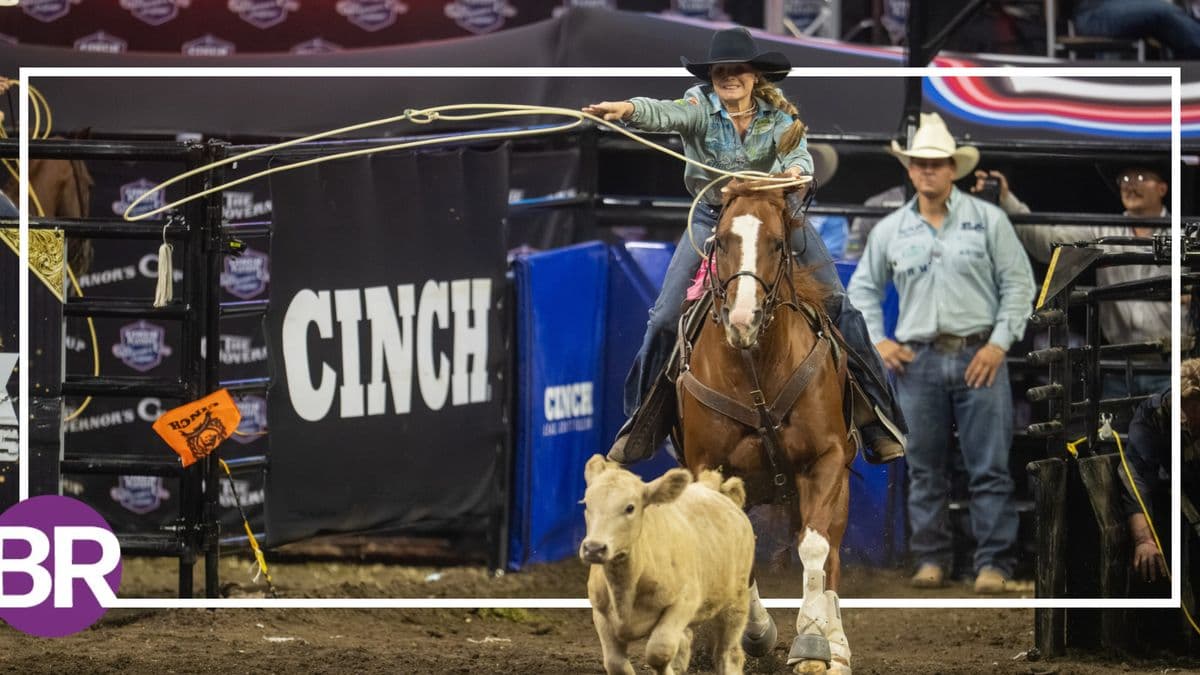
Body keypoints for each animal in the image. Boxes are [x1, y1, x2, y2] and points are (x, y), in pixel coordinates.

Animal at [580, 455, 755, 675]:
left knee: (728, 652)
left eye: (630, 507)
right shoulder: (601, 614)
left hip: (736, 602)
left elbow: (659, 651)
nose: (594, 548)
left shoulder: (684, 601)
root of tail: (711, 487)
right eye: (587, 504)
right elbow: (616, 663)